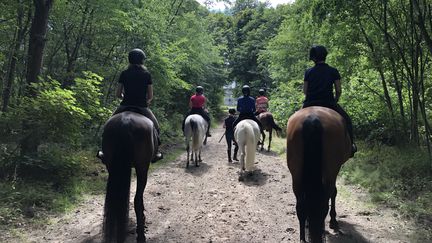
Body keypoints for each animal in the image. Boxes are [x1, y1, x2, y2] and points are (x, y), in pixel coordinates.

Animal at [286, 107, 352, 243]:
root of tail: (313, 119)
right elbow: (334, 193)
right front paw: (333, 221)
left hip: (296, 176)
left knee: (300, 207)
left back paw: (303, 238)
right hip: (330, 173)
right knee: (324, 205)